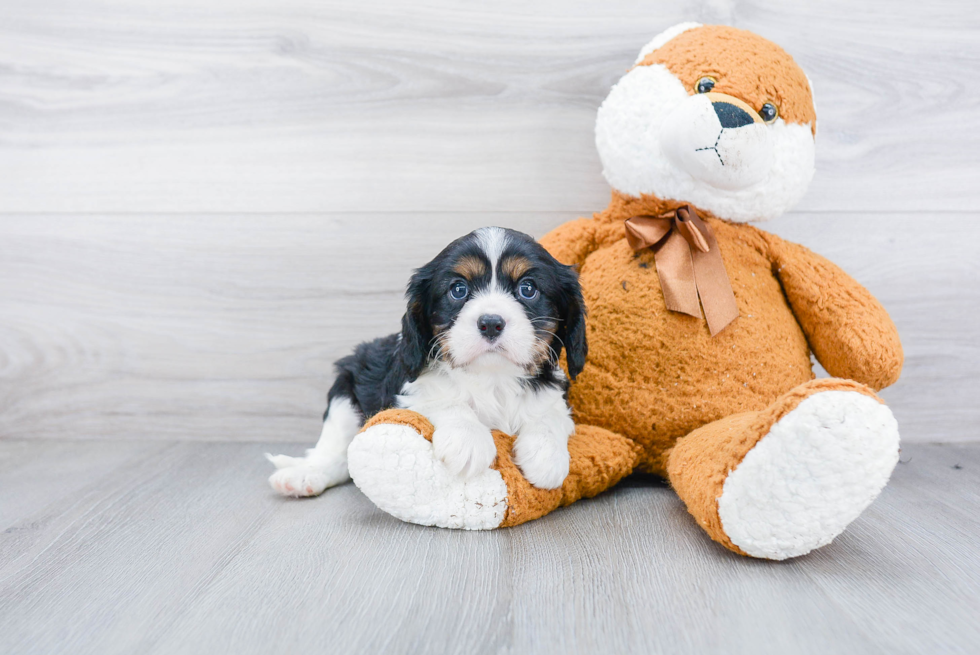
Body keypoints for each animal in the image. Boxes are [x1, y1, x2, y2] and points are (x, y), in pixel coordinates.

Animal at [268, 226, 584, 498]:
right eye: (458, 290)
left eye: (528, 289)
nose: (491, 323)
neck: (492, 377)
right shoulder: (406, 388)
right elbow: (444, 399)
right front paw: (468, 439)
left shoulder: (555, 394)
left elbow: (549, 414)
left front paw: (547, 457)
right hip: (346, 391)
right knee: (335, 452)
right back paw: (304, 476)